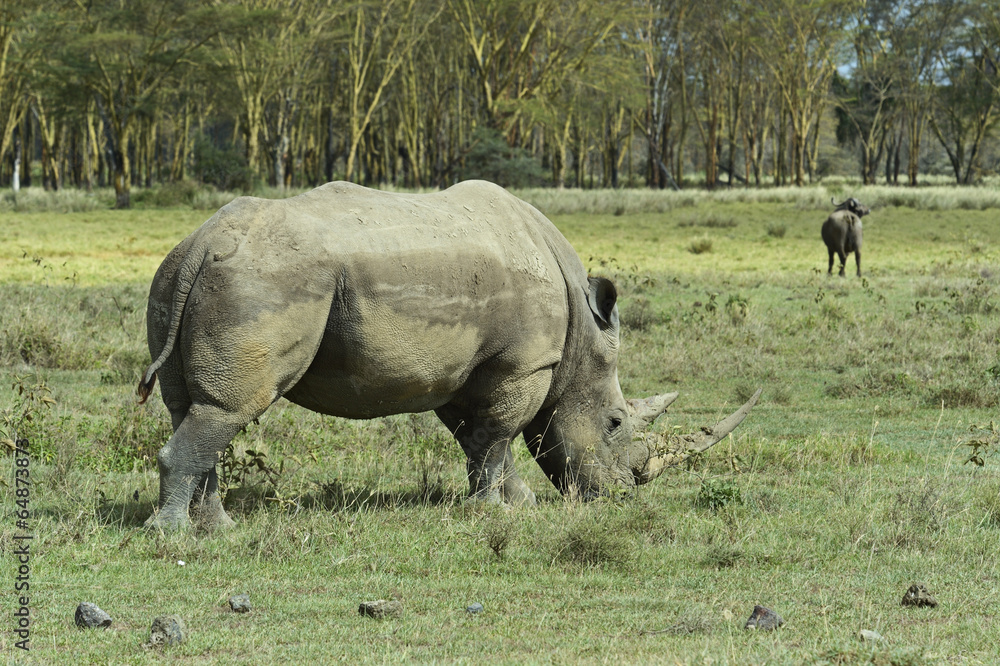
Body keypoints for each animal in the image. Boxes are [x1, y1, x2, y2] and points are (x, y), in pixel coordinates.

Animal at [138, 180, 760, 530]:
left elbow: (481, 439)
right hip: (264, 282)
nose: (620, 495)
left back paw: (217, 526)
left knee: (196, 408)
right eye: (614, 423)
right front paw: (495, 512)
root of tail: (202, 244)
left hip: (176, 277)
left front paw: (518, 504)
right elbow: (499, 434)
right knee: (230, 407)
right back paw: (173, 534)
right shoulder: (522, 363)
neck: (581, 337)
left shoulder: (462, 369)